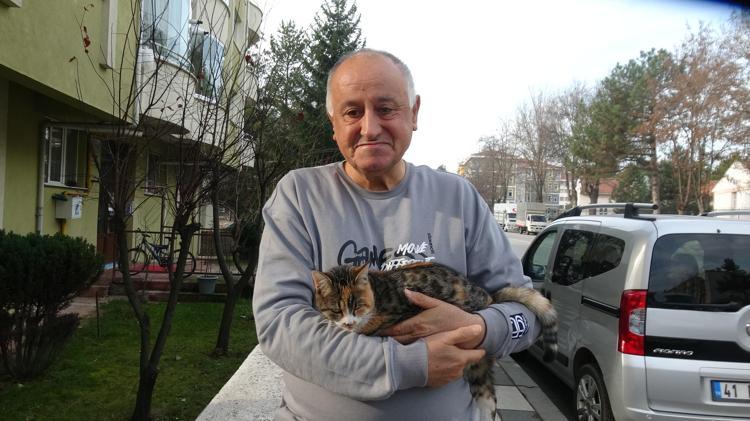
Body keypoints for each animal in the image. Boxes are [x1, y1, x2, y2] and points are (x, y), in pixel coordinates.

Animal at [311, 261, 558, 421]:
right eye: (336, 309)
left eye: (358, 306)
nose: (348, 324)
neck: (378, 295)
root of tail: (489, 298)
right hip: (479, 372)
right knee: (487, 396)